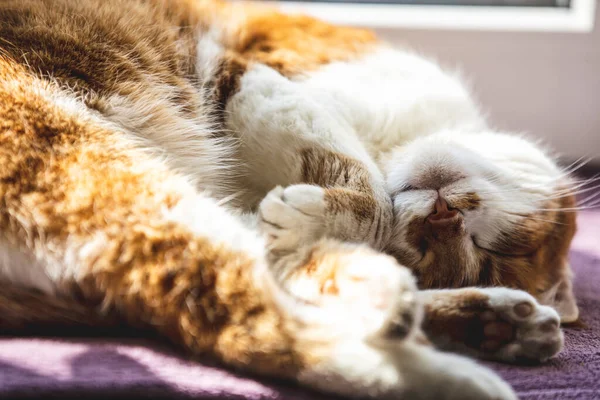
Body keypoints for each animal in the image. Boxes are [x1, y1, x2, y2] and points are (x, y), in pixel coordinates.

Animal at [1, 0, 580, 400]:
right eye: (495, 248)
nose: (442, 219)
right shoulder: (261, 75)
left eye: (475, 252)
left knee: (248, 294)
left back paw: (494, 325)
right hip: (86, 161)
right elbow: (370, 193)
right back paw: (451, 357)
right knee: (242, 313)